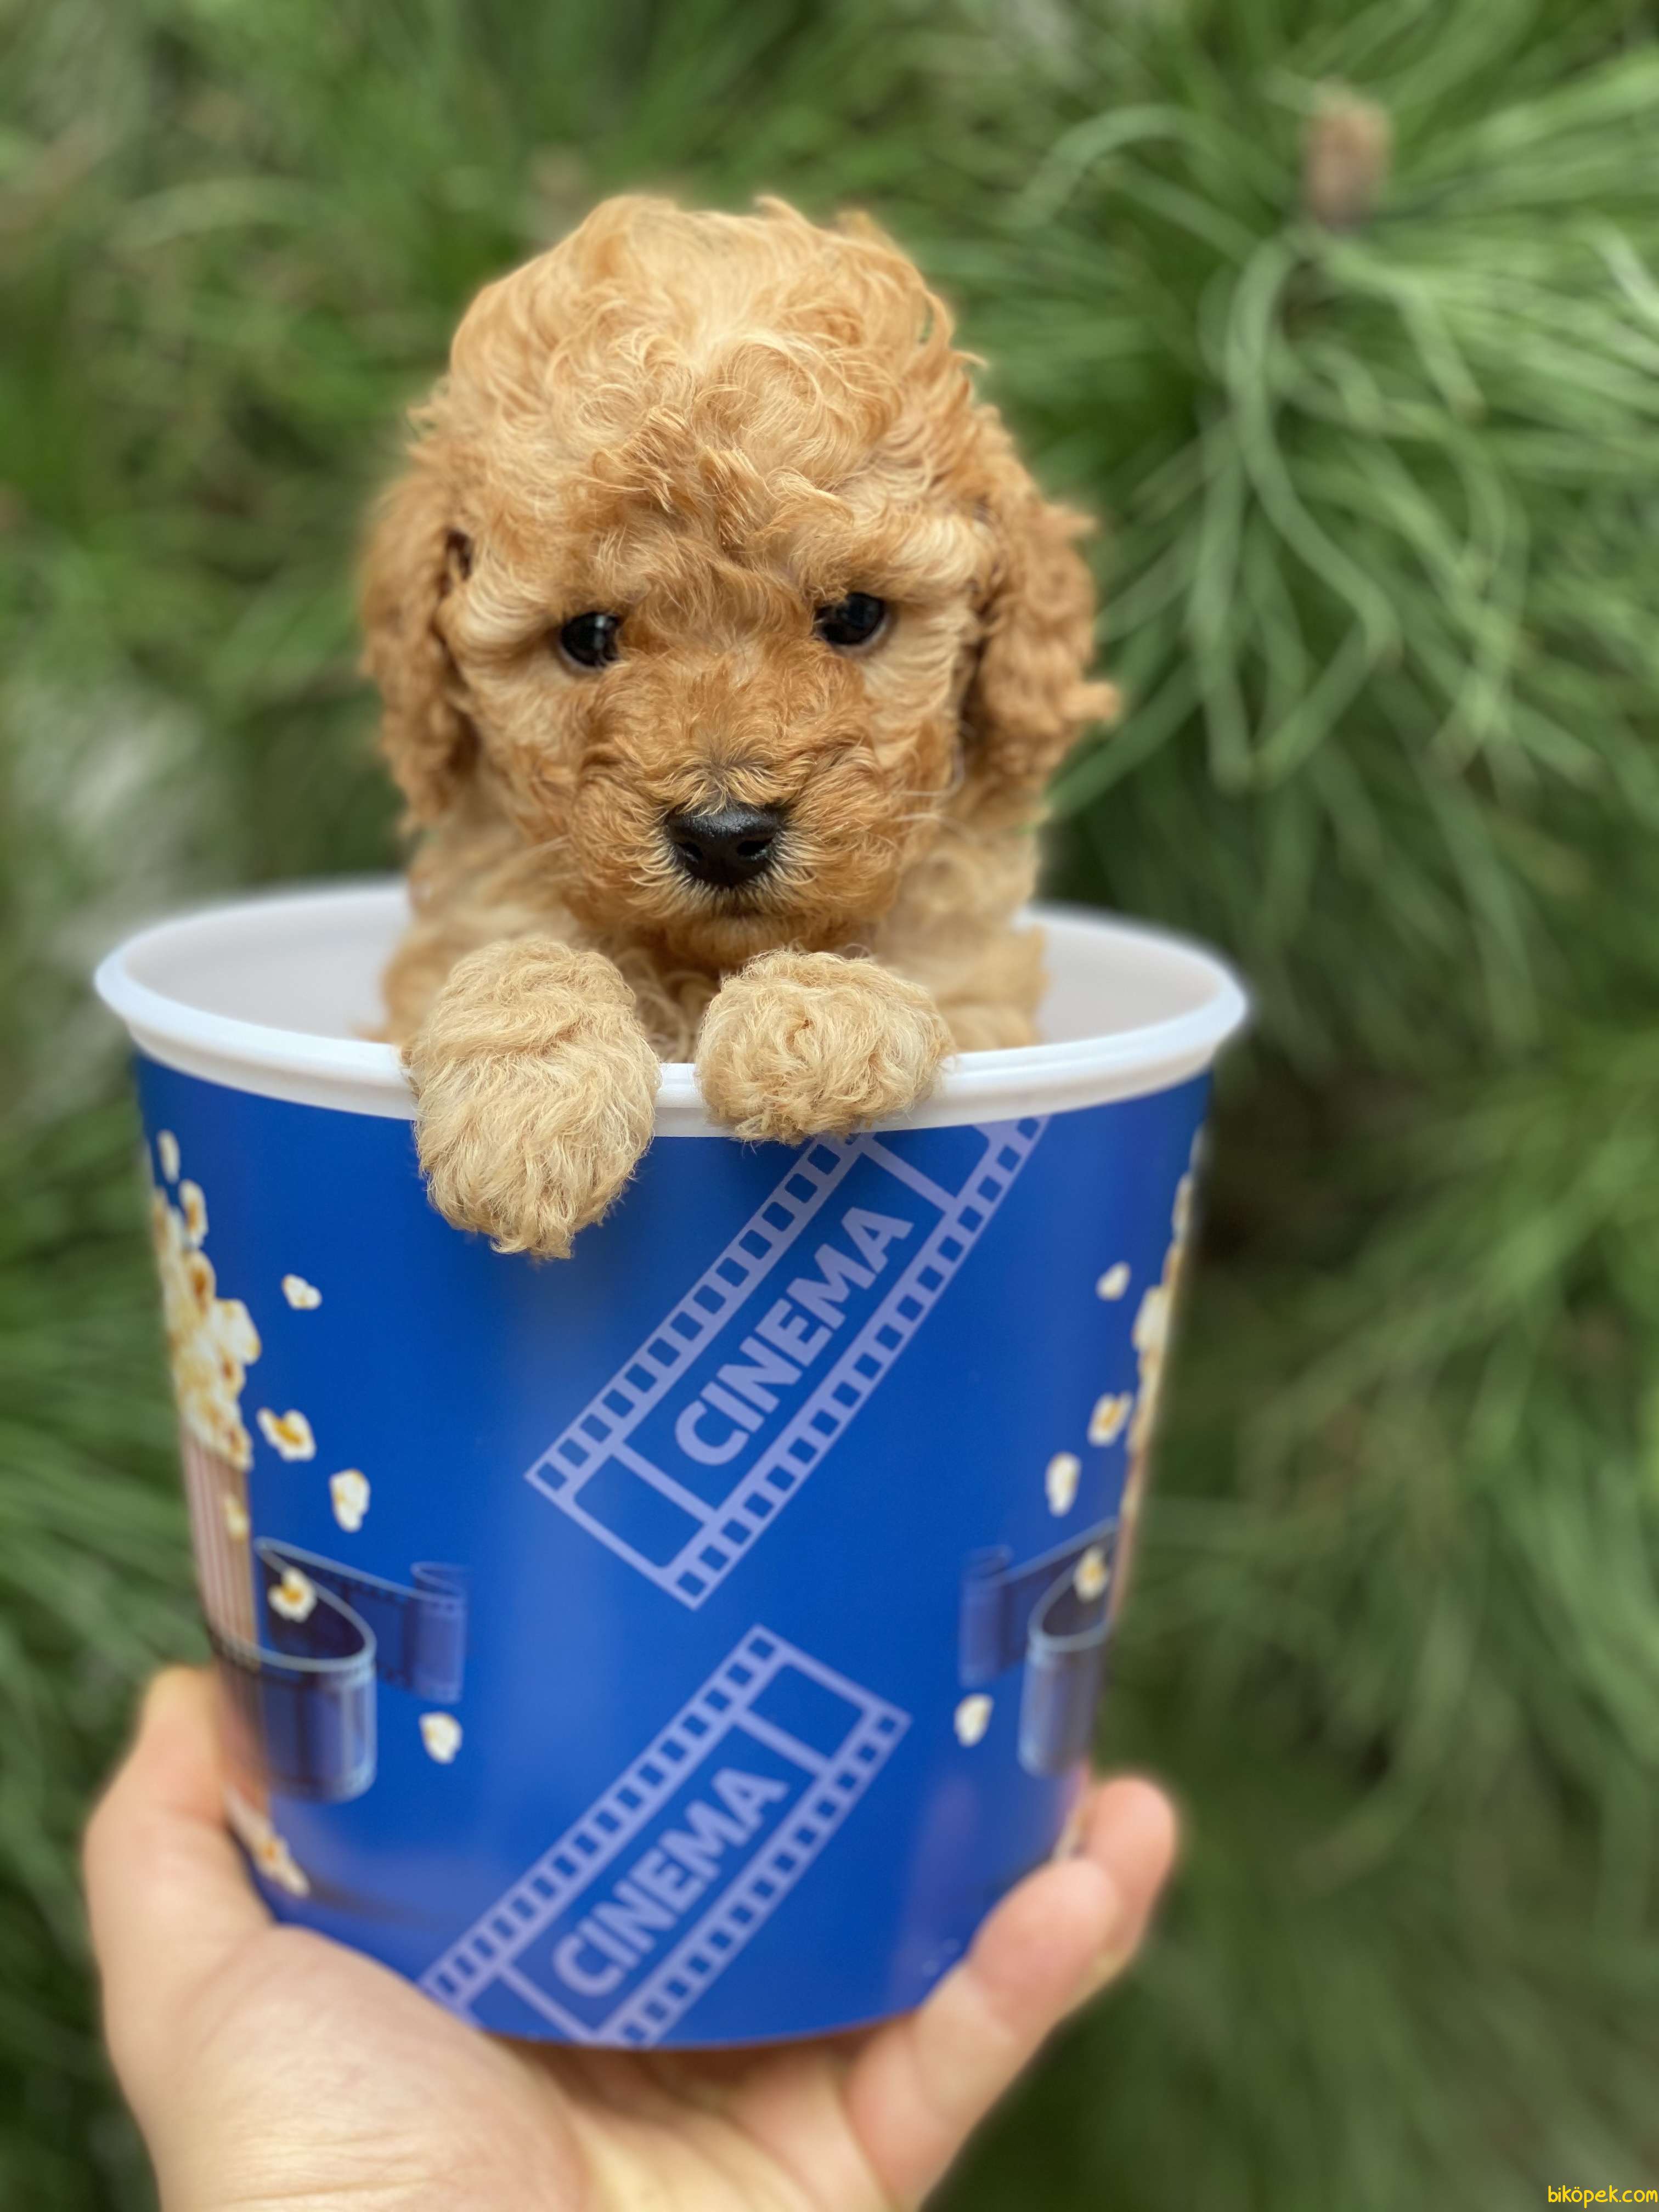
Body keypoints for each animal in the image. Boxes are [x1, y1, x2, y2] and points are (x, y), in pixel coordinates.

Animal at [363, 199, 1119, 1265]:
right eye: (588, 636)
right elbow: (522, 952)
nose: (724, 834)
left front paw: (813, 1014)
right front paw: (527, 1109)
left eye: (854, 615)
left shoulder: (987, 1002)